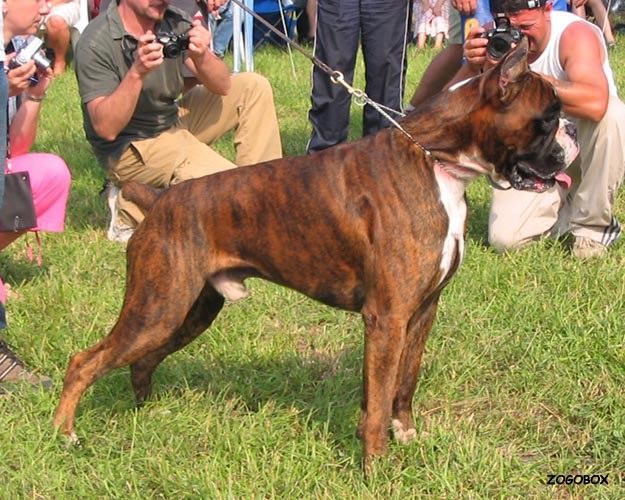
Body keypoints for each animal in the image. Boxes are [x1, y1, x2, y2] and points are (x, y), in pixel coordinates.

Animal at [54, 42, 580, 468]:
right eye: (548, 116)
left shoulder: (422, 311)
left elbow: (401, 383)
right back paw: (64, 435)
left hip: (189, 309)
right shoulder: (387, 317)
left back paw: (145, 412)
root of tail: (160, 199)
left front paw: (405, 434)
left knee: (141, 361)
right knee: (84, 361)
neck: (435, 161)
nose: (573, 129)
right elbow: (379, 396)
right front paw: (375, 468)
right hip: (159, 305)